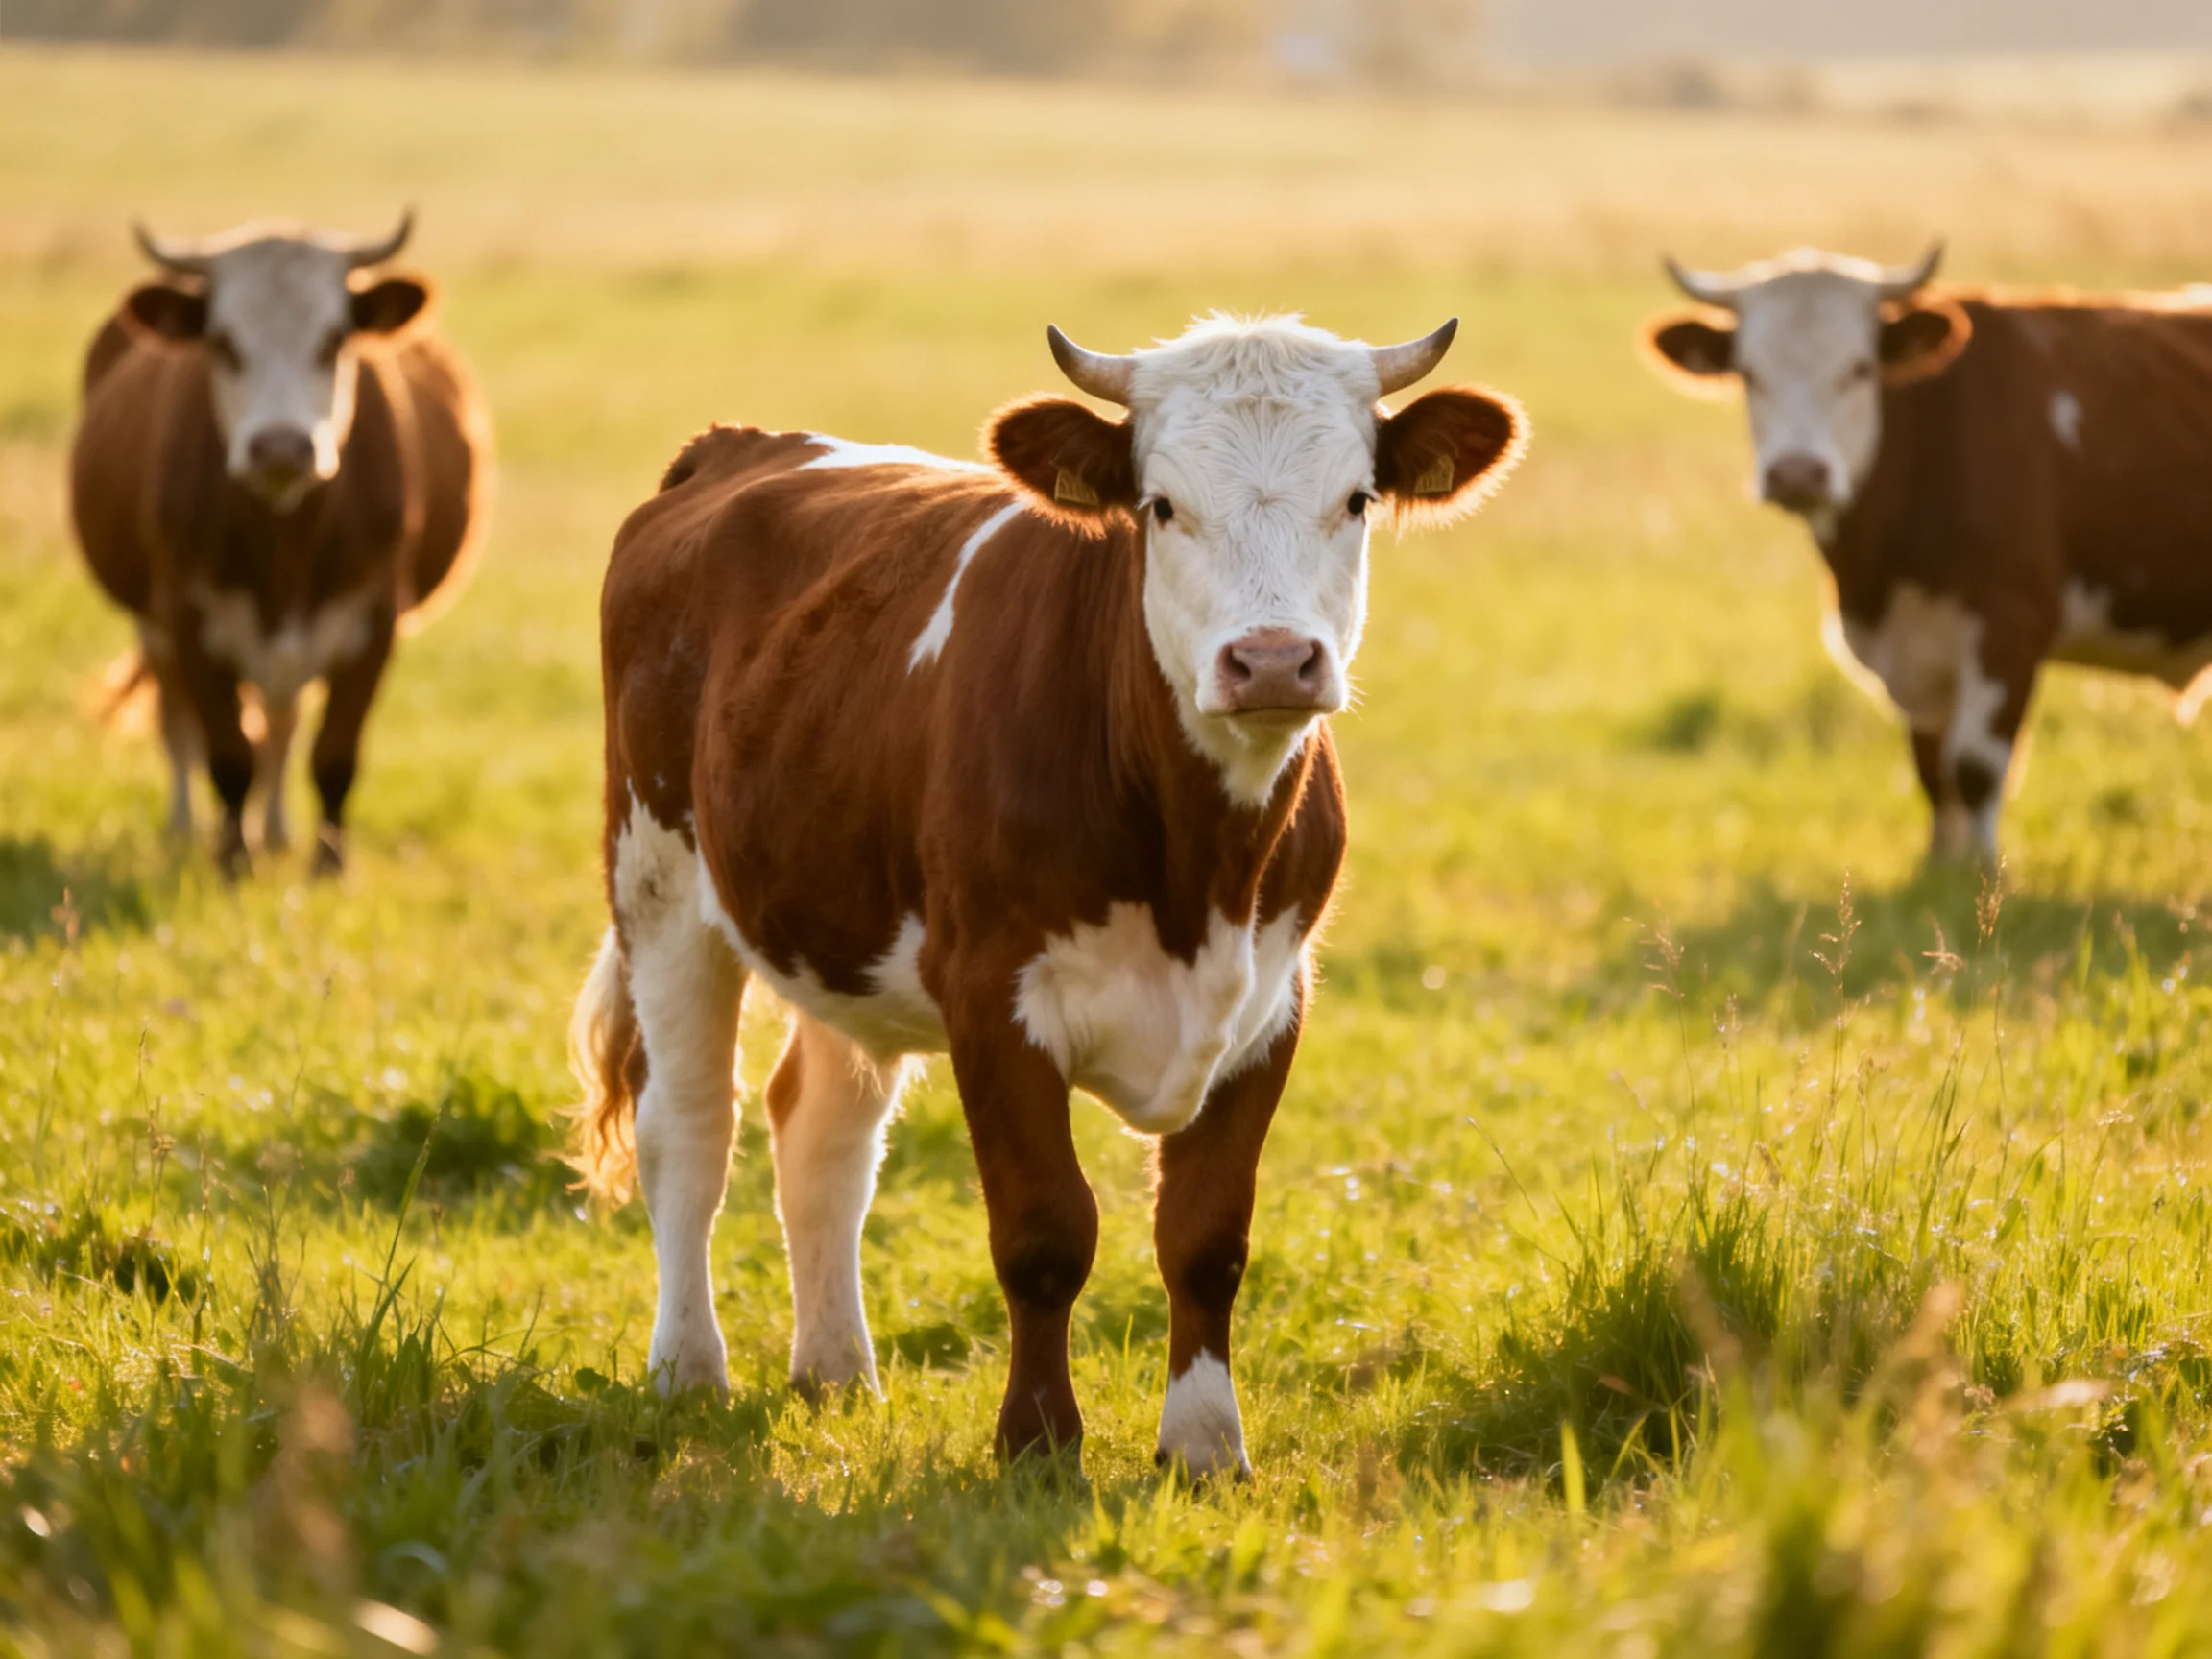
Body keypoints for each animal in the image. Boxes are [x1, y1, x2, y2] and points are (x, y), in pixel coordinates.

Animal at [70, 213, 494, 876]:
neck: (285, 541)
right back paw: (186, 829)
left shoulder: (373, 622)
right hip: (153, 626)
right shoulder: (188, 619)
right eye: (222, 342)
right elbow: (227, 754)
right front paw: (231, 863)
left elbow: (332, 755)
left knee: (281, 724)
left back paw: (275, 832)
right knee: (181, 727)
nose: (281, 446)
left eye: (334, 339)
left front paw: (328, 866)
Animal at [568, 314, 1526, 1475]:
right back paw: (687, 1371)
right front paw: (1036, 1442)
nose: (1270, 662)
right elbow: (1043, 1231)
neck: (1196, 872)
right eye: (1161, 505)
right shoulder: (991, 995)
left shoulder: (1270, 1003)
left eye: (1355, 499)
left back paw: (836, 1371)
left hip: (834, 917)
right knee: (691, 1130)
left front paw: (1205, 1448)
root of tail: (739, 446)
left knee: (822, 1134)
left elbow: (1206, 1236)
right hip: (658, 883)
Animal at [1642, 244, 2212, 864]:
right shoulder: (1916, 654)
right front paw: (1940, 866)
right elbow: (1932, 769)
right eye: (1748, 373)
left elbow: (1975, 767)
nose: (1797, 474)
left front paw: (1985, 871)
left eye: (1861, 368)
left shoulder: (2011, 626)